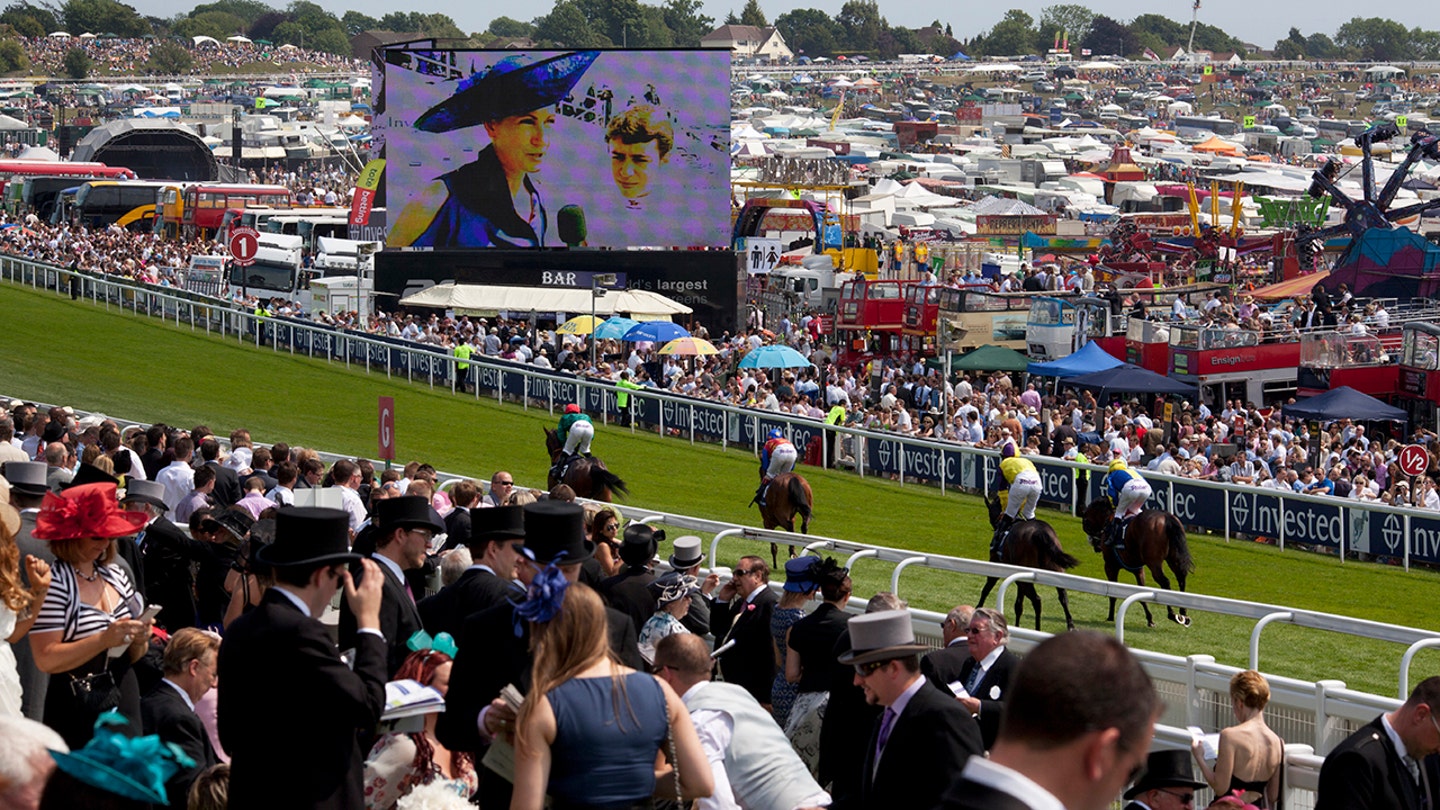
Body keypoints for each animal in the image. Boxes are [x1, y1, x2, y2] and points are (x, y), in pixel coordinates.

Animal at [979, 492, 1082, 631]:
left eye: (989, 512)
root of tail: (1040, 532)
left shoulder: (997, 564)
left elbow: (986, 589)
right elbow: (1018, 605)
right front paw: (1017, 626)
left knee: (1037, 600)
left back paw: (1038, 628)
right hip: (1057, 569)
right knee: (1063, 597)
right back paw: (1070, 625)